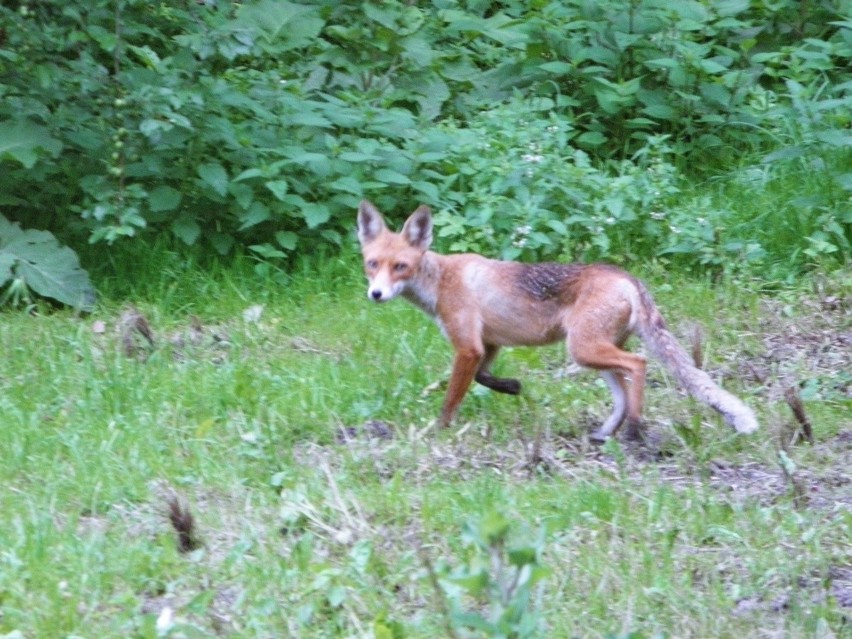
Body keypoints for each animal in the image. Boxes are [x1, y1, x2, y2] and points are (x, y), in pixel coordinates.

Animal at [354, 200, 760, 440]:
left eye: (400, 266)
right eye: (372, 264)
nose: (376, 294)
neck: (440, 281)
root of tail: (625, 276)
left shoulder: (467, 347)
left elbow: (453, 397)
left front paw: (438, 431)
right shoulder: (488, 344)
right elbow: (485, 378)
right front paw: (512, 386)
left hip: (583, 348)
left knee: (639, 364)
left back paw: (633, 430)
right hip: (594, 352)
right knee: (623, 386)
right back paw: (606, 433)